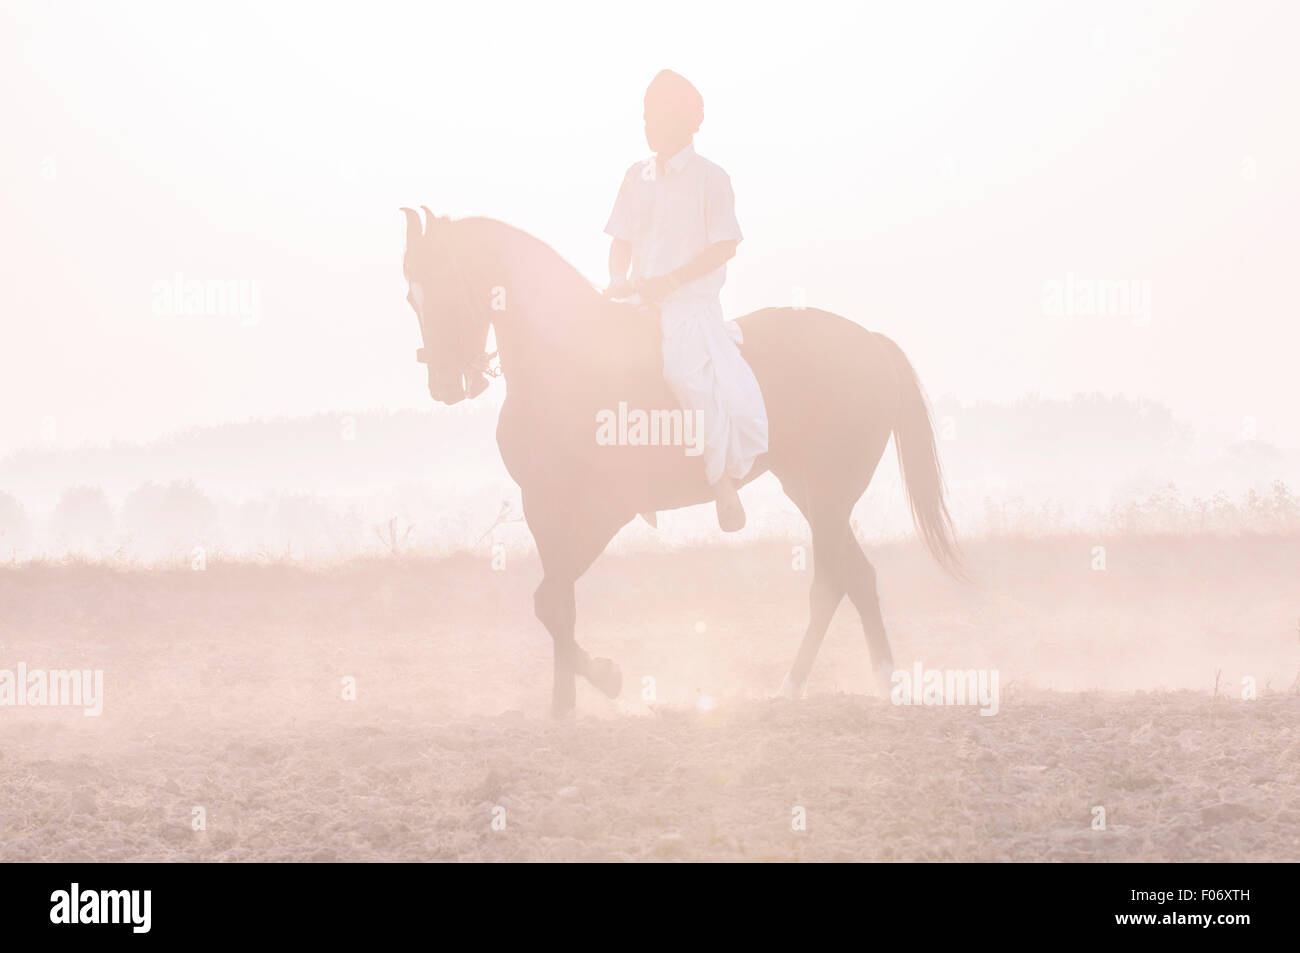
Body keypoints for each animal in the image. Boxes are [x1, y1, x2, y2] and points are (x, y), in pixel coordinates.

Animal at [400, 207, 963, 715]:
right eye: (411, 297)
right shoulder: (542, 505)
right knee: (851, 578)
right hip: (809, 491)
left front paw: (604, 677)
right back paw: (854, 683)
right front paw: (564, 702)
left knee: (836, 583)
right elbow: (558, 603)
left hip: (828, 495)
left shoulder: (609, 509)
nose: (444, 384)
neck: (567, 360)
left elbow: (549, 599)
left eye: (445, 288)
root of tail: (869, 341)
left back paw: (831, 684)